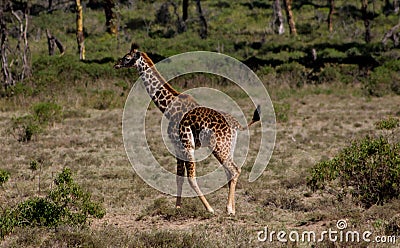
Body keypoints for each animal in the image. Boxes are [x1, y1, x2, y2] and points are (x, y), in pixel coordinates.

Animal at [114, 43, 260, 215]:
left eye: (127, 58)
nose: (116, 64)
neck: (168, 108)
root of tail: (237, 125)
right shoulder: (178, 146)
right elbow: (179, 177)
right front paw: (177, 208)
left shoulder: (183, 145)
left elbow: (190, 178)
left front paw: (209, 209)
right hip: (229, 146)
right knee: (230, 172)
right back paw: (231, 208)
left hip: (219, 147)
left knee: (234, 170)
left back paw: (229, 209)